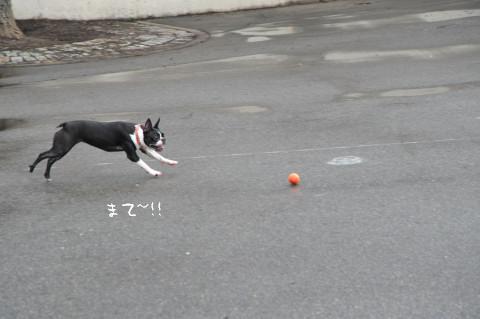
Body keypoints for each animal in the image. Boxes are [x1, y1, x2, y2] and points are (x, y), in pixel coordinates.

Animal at [29, 119, 177, 181]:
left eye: (162, 135)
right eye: (154, 137)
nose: (164, 139)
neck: (135, 133)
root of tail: (65, 125)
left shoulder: (145, 148)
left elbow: (159, 157)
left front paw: (171, 162)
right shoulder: (132, 155)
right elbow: (145, 164)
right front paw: (154, 172)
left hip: (62, 150)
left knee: (50, 160)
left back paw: (47, 176)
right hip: (61, 148)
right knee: (43, 155)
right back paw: (31, 168)